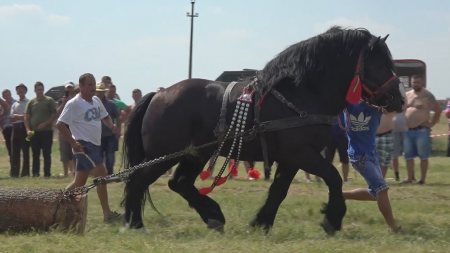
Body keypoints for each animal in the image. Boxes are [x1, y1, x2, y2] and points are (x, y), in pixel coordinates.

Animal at [119, 26, 404, 235]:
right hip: (165, 154)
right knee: (137, 180)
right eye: (380, 65)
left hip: (195, 154)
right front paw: (332, 219)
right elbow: (333, 177)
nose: (399, 100)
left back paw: (213, 216)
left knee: (177, 182)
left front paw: (261, 222)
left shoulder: (291, 159)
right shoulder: (302, 154)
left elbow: (279, 190)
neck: (300, 95)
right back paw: (136, 225)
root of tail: (158, 94)